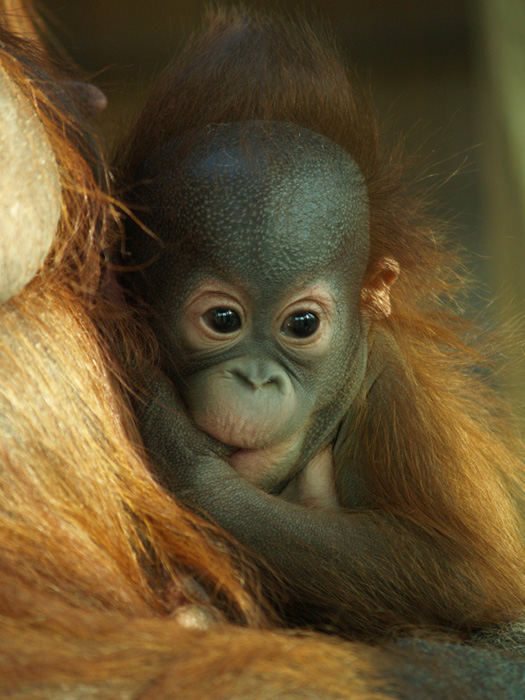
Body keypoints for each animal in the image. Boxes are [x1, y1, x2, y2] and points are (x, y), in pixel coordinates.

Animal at [116, 7, 525, 641]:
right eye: (222, 319)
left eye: (303, 324)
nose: (257, 379)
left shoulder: (393, 393)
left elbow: (462, 573)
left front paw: (179, 456)